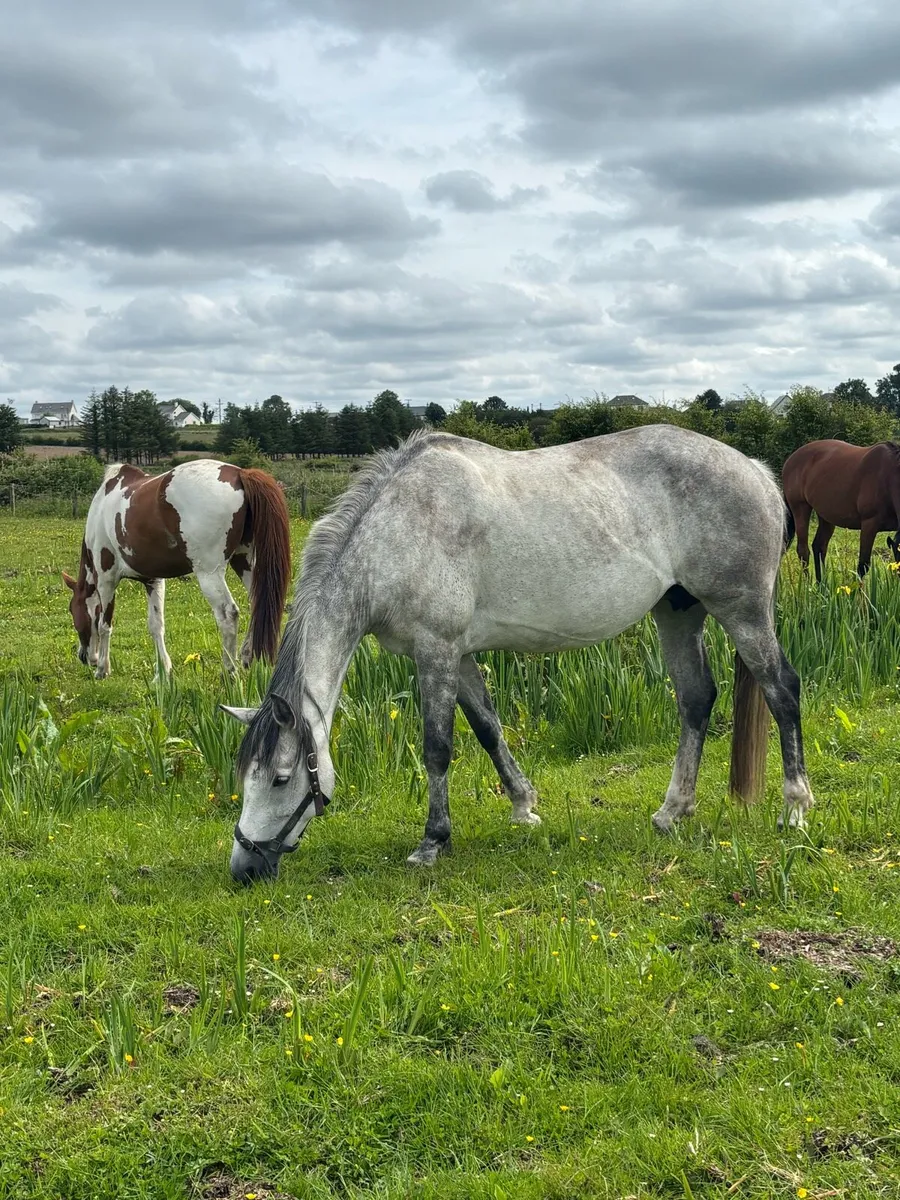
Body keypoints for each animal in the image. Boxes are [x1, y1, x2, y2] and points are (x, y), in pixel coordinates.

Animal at [63, 459, 291, 679]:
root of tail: (239, 473)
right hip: (244, 562)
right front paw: (162, 673)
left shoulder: (106, 579)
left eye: (72, 609)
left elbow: (104, 625)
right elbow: (156, 625)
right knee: (258, 602)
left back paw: (229, 672)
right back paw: (248, 657)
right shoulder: (153, 580)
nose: (84, 656)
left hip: (209, 573)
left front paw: (103, 669)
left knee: (228, 614)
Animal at [221, 426, 814, 885]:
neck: (397, 532)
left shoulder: (435, 651)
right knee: (695, 699)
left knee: (782, 689)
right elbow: (488, 729)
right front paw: (524, 807)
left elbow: (437, 748)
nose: (243, 870)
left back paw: (794, 809)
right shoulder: (457, 656)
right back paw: (672, 812)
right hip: (678, 611)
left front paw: (432, 842)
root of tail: (757, 471)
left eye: (279, 778)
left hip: (742, 610)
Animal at [782, 439, 900, 581]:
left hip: (825, 516)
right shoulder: (869, 525)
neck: (888, 477)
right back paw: (807, 584)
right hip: (800, 508)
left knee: (819, 547)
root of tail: (791, 459)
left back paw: (821, 584)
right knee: (803, 550)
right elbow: (863, 565)